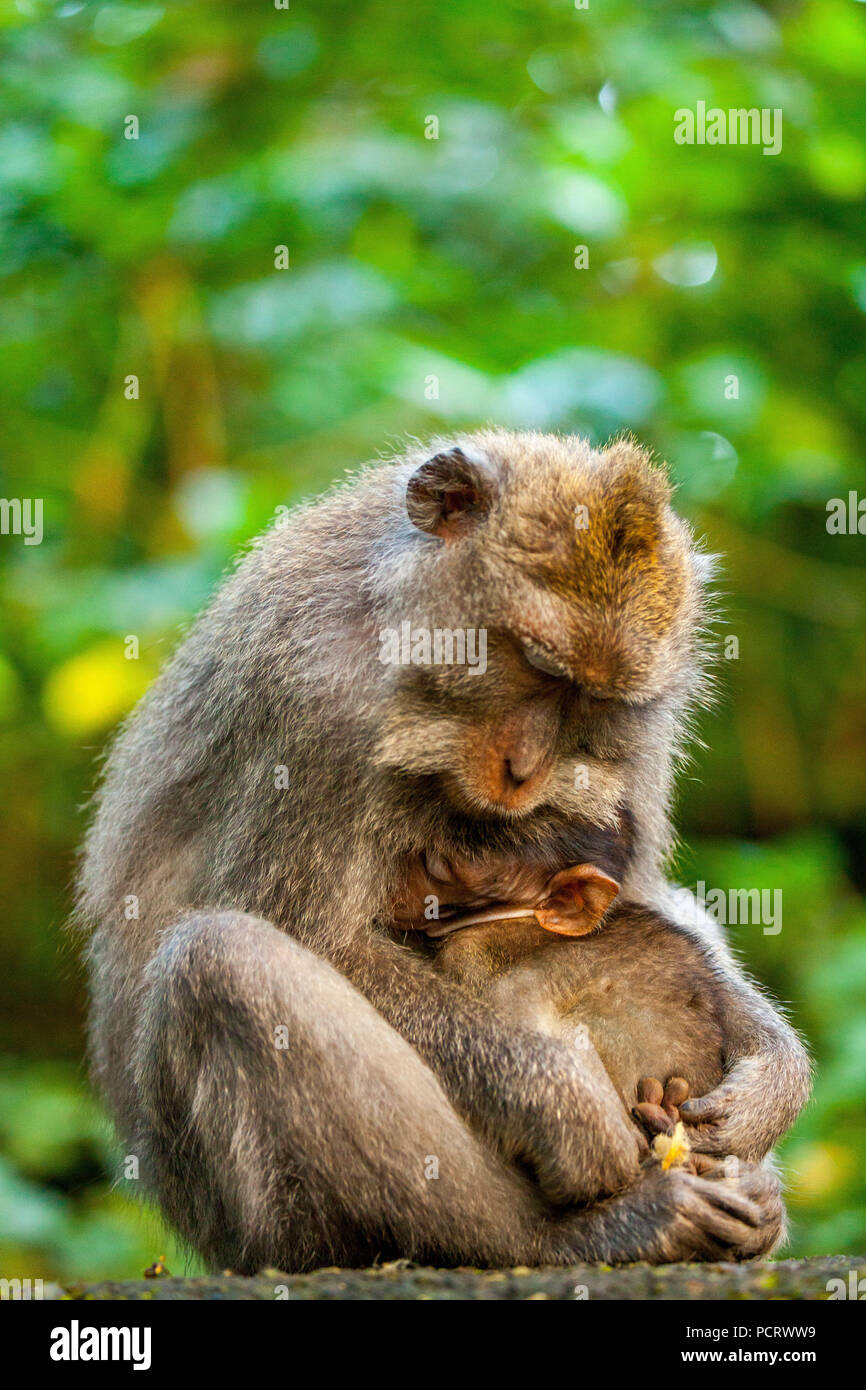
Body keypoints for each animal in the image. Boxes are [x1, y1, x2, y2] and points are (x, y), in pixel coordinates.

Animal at [77, 433, 811, 1273]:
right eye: (540, 665)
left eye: (592, 700)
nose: (525, 770)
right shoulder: (318, 702)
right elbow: (315, 936)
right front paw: (561, 1103)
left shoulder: (641, 731)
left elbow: (643, 900)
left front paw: (771, 1086)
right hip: (251, 1225)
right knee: (224, 962)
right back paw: (577, 1235)